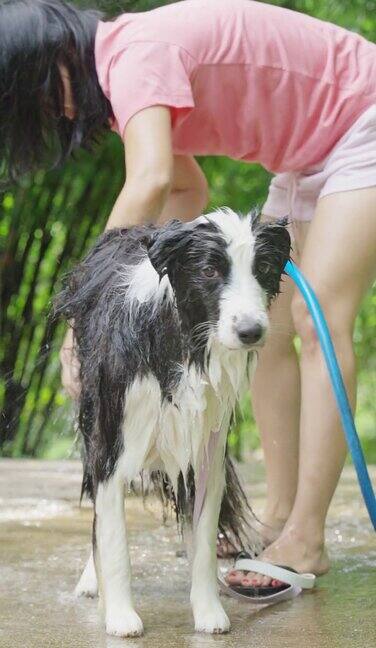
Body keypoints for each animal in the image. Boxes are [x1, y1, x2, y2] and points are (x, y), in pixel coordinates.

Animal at [56, 210, 290, 636]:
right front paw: (121, 616)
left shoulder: (207, 450)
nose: (251, 332)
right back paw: (91, 580)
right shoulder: (110, 443)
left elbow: (204, 540)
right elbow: (113, 536)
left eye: (262, 268)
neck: (181, 341)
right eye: (210, 270)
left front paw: (209, 612)